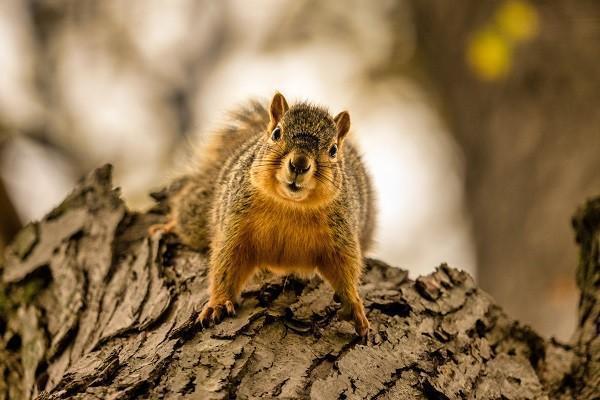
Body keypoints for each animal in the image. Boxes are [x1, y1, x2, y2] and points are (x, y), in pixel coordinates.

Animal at [150, 92, 376, 336]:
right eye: (277, 133)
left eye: (333, 150)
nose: (299, 164)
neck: (289, 205)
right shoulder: (234, 222)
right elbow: (226, 262)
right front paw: (218, 303)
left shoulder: (341, 233)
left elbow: (345, 268)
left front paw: (354, 306)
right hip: (199, 211)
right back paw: (169, 226)